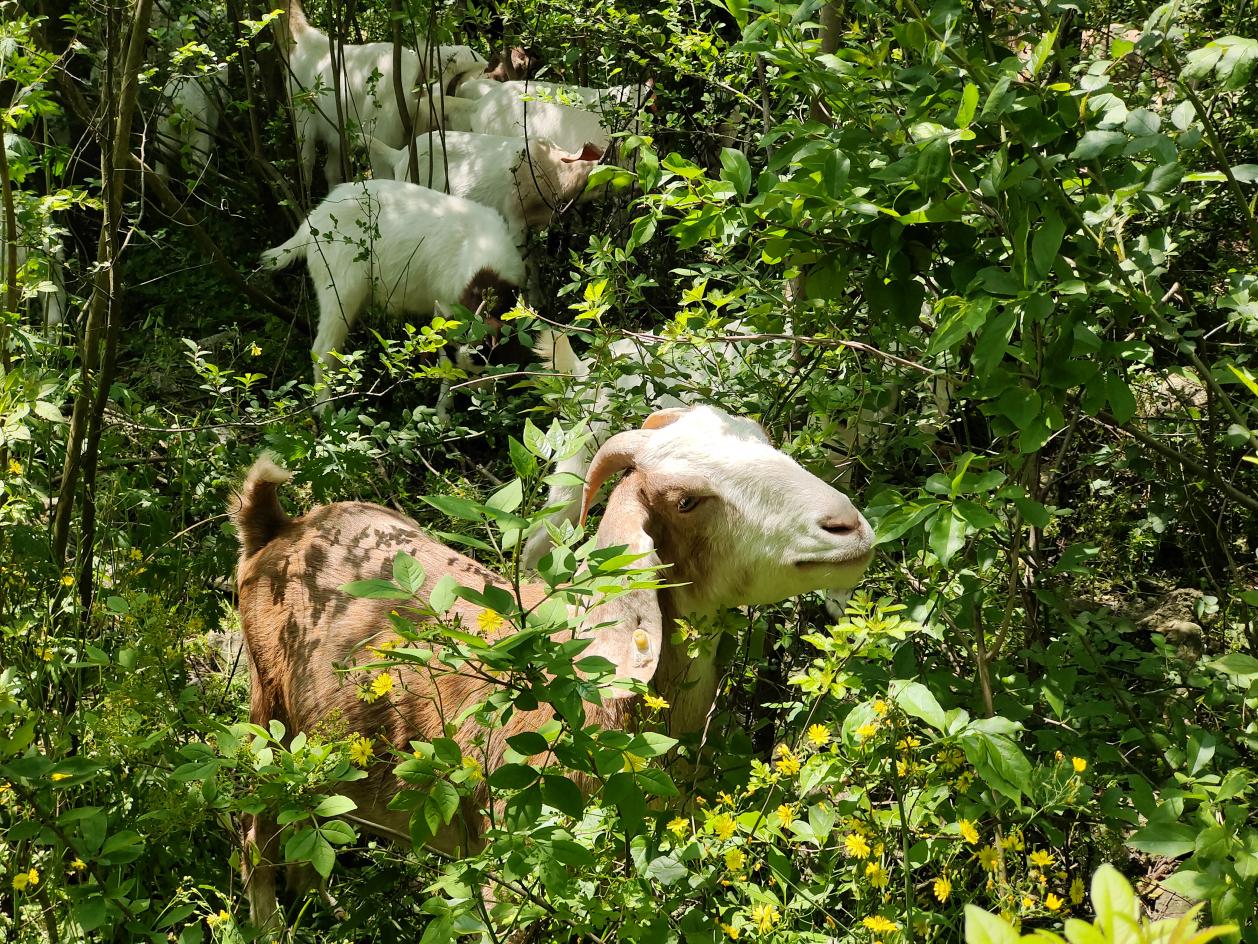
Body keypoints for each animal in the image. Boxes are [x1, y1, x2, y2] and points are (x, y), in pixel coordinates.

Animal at [260, 181, 525, 407]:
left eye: (485, 357)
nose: (478, 398)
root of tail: (311, 223)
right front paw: (442, 415)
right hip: (338, 287)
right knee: (323, 349)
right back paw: (326, 413)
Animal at [280, 0, 485, 190]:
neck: (300, 41)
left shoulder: (303, 117)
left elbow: (306, 168)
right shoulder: (335, 129)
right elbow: (331, 172)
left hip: (381, 131)